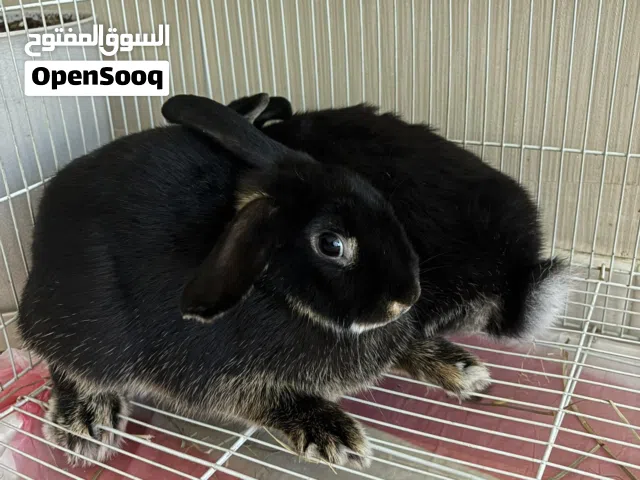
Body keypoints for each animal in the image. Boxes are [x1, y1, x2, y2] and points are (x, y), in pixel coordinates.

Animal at [17, 93, 504, 470]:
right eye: (331, 244)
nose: (407, 297)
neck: (279, 294)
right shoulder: (217, 376)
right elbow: (269, 399)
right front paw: (335, 435)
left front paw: (462, 370)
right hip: (84, 326)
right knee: (62, 363)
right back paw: (85, 424)